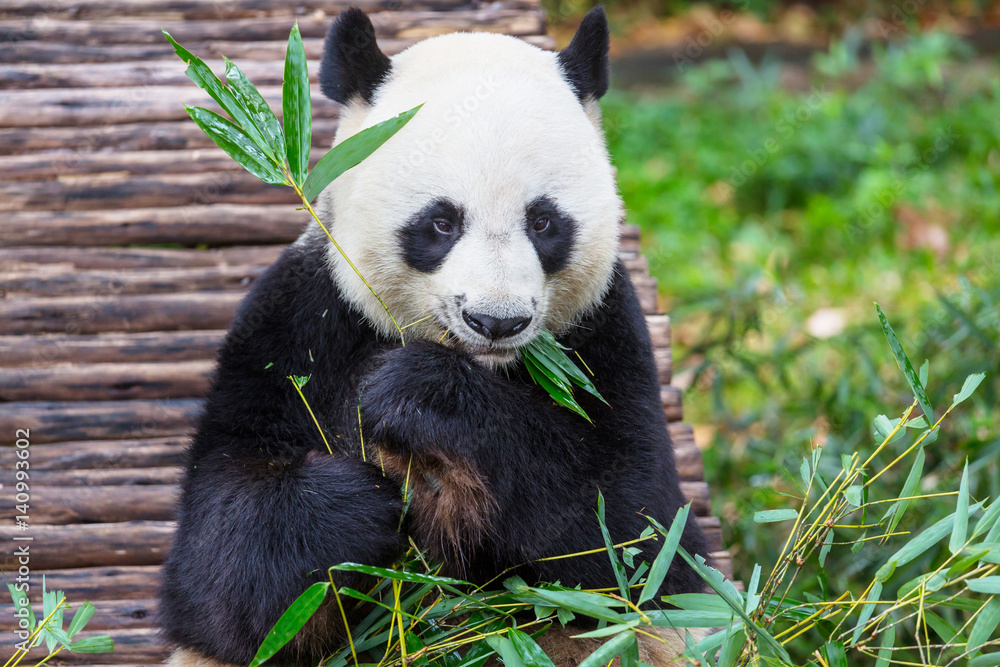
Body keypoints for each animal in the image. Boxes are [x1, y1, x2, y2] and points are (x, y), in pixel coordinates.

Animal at [159, 7, 710, 667]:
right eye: (441, 222)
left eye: (544, 221)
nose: (496, 321)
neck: (481, 364)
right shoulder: (301, 321)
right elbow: (219, 569)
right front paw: (356, 505)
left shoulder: (604, 333)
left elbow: (635, 533)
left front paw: (422, 397)